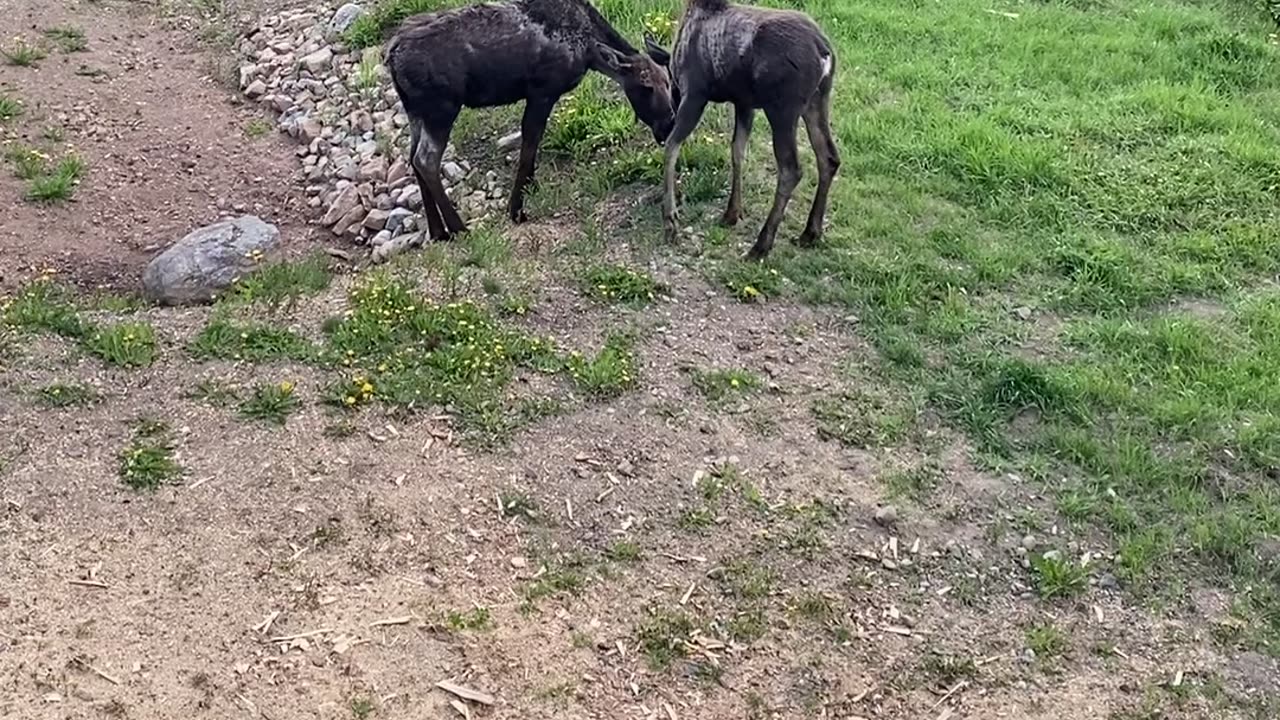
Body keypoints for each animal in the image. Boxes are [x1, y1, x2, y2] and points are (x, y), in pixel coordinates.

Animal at [384, 0, 675, 240]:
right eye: (646, 86)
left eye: (668, 81)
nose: (668, 123)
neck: (588, 51)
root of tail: (391, 55)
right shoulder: (542, 91)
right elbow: (529, 146)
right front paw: (516, 210)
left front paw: (530, 189)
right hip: (442, 109)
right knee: (426, 159)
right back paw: (458, 228)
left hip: (415, 111)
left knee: (412, 157)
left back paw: (437, 231)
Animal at [650, 0, 839, 257]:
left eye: (668, 84)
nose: (661, 128)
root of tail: (824, 52)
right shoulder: (744, 103)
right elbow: (737, 151)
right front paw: (732, 212)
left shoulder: (696, 93)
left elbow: (672, 147)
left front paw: (670, 221)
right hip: (817, 100)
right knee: (828, 157)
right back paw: (810, 233)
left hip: (782, 108)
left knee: (791, 169)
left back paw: (761, 245)